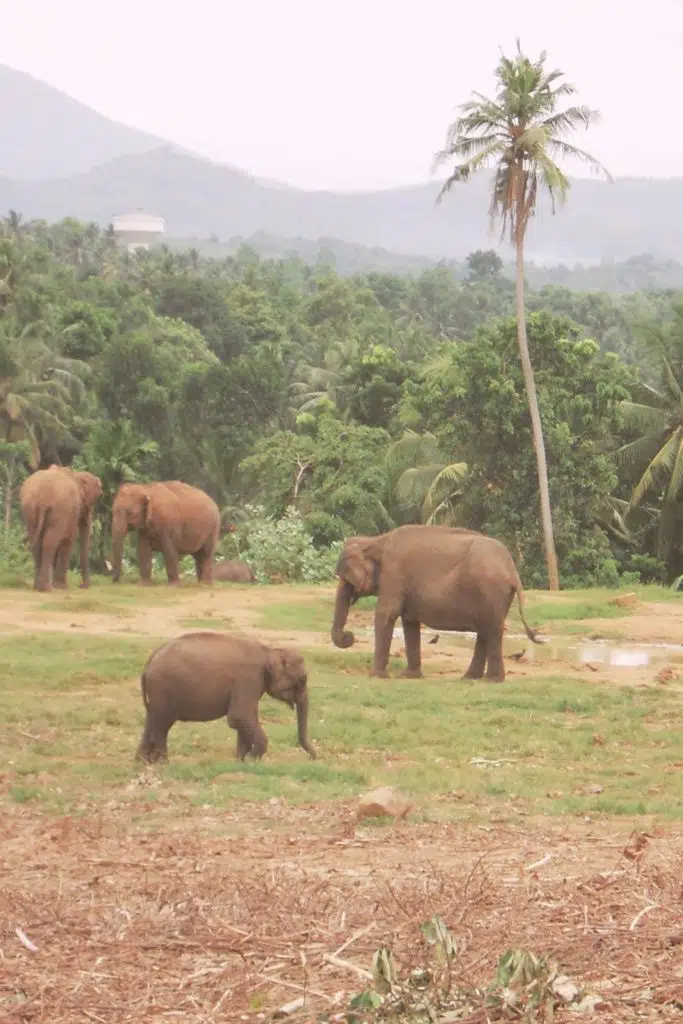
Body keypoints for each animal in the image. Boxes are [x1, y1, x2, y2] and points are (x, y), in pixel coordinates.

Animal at [20, 464, 103, 593]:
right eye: (98, 497)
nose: (82, 586)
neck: (76, 475)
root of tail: (43, 496)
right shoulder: (71, 510)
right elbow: (68, 539)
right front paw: (61, 587)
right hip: (59, 509)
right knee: (49, 541)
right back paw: (46, 588)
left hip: (29, 509)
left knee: (37, 541)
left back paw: (38, 587)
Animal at [135, 626, 317, 765]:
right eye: (302, 680)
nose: (313, 758)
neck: (269, 649)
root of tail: (148, 663)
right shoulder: (249, 679)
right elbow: (239, 716)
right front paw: (253, 759)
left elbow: (242, 719)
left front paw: (241, 761)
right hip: (163, 690)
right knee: (163, 725)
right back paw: (163, 763)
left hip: (156, 694)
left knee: (152, 721)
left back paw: (143, 761)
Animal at [331, 524, 544, 684]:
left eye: (346, 579)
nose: (349, 636)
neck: (375, 540)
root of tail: (513, 570)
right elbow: (409, 622)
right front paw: (409, 676)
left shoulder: (393, 573)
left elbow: (386, 613)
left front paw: (376, 677)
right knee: (486, 631)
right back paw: (469, 679)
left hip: (491, 591)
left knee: (491, 630)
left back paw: (491, 681)